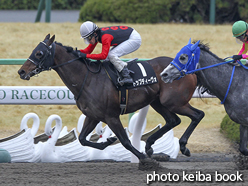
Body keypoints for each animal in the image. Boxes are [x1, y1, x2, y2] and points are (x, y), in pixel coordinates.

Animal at [17, 34, 203, 169]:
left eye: (39, 53)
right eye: (34, 50)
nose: (21, 71)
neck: (88, 79)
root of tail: (189, 70)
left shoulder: (111, 116)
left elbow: (126, 141)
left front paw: (145, 160)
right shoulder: (93, 116)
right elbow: (83, 139)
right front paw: (108, 141)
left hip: (174, 102)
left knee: (197, 115)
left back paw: (182, 146)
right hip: (158, 102)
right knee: (173, 120)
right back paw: (150, 145)